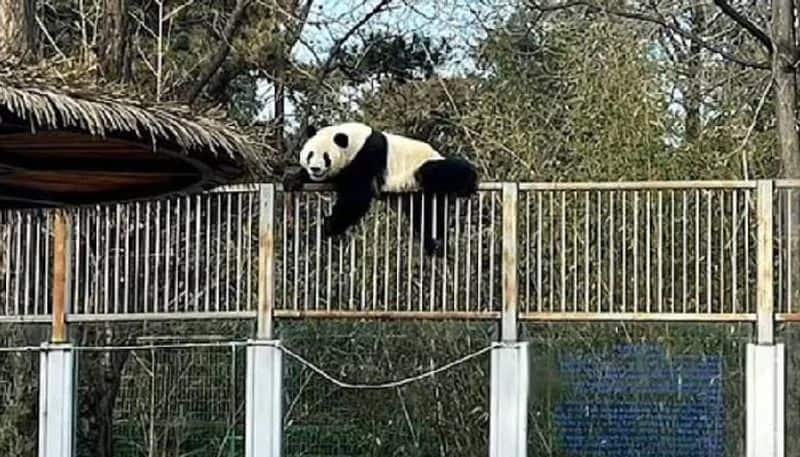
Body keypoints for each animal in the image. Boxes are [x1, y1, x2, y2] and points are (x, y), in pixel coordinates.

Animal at [284, 121, 478, 256]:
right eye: (310, 154)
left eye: (326, 157)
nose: (315, 169)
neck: (355, 140)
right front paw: (293, 179)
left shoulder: (366, 156)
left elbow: (357, 196)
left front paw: (330, 225)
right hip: (417, 196)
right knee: (426, 215)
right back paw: (435, 245)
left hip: (421, 167)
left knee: (440, 172)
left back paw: (468, 182)